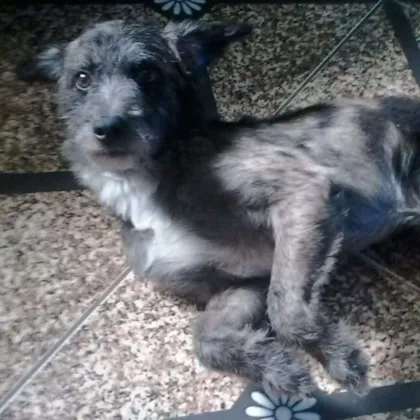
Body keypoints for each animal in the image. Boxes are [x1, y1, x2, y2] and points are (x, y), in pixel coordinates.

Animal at [17, 19, 420, 398]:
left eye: (148, 74)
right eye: (82, 79)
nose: (108, 128)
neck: (150, 177)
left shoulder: (303, 191)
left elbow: (286, 309)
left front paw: (338, 357)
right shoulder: (243, 282)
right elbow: (206, 341)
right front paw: (277, 368)